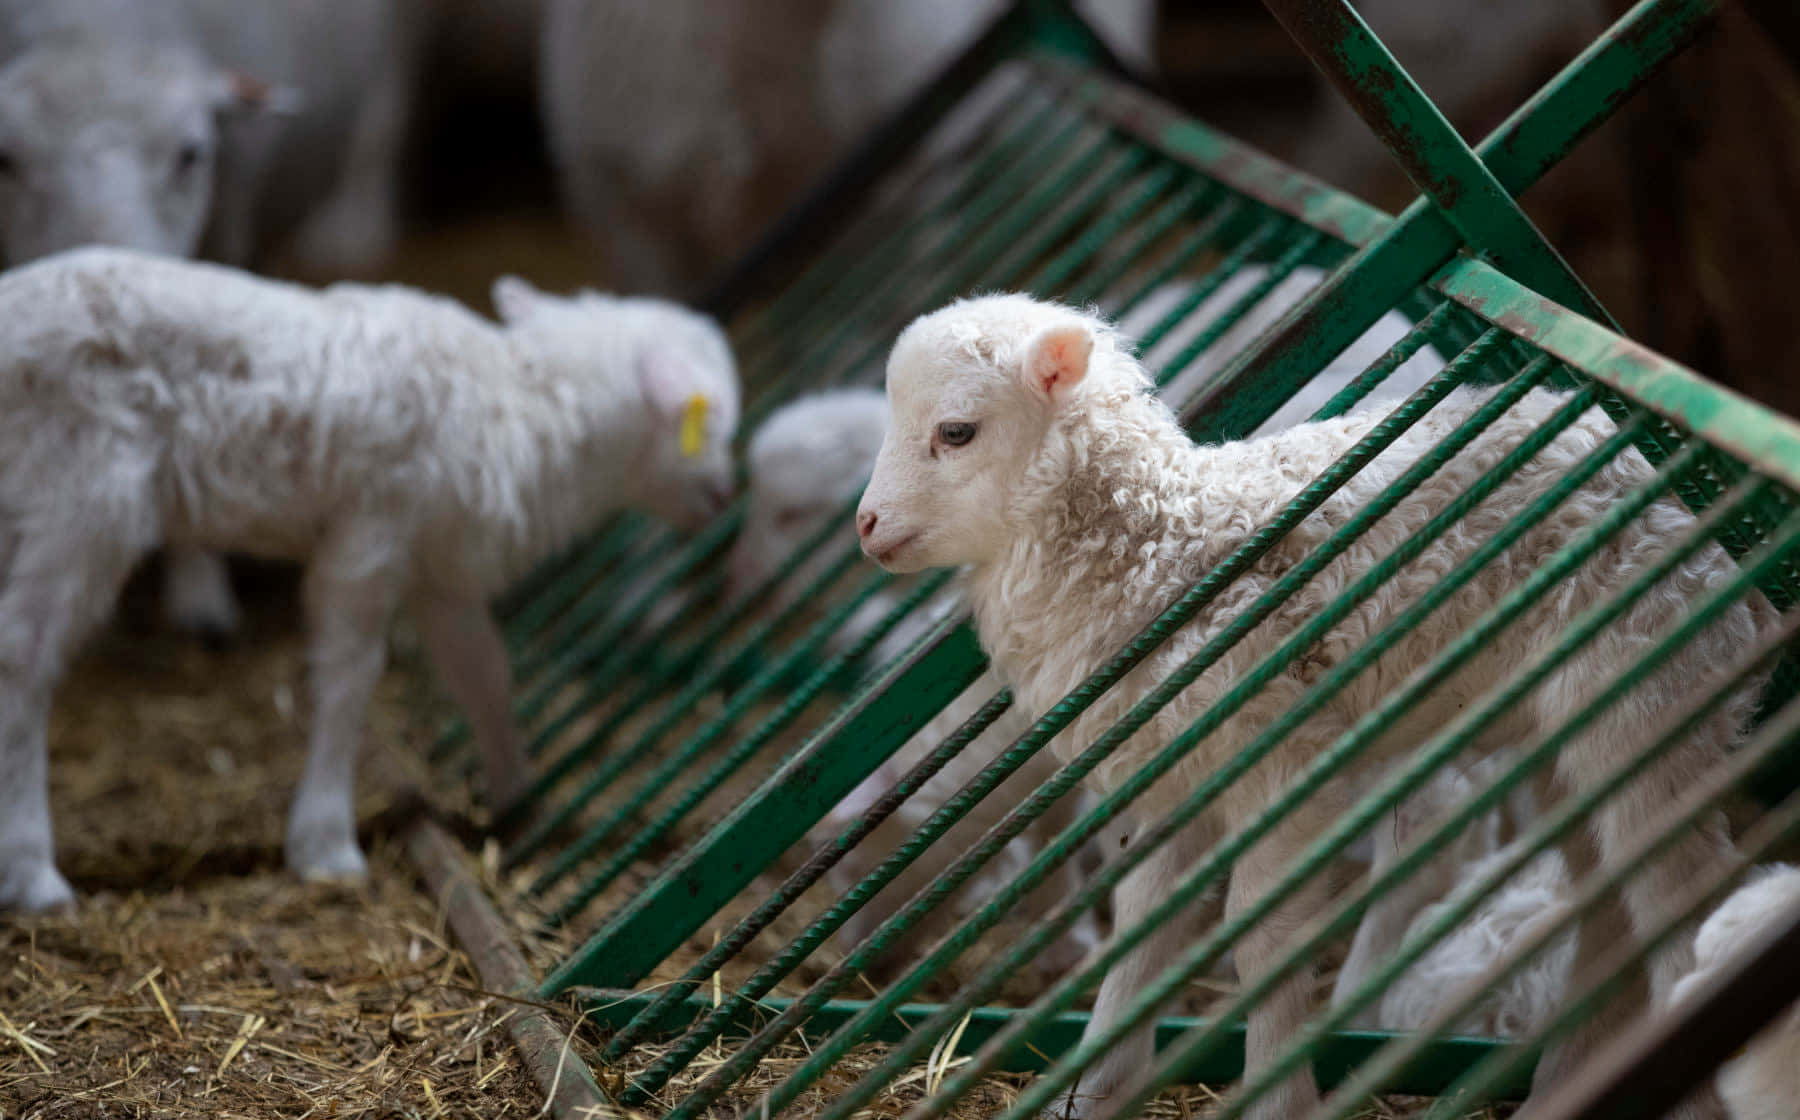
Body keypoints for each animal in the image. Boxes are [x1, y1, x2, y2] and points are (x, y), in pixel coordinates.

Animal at [0, 250, 738, 918]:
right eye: (708, 423)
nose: (725, 497)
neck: (521, 402)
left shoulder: (439, 564)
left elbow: (484, 673)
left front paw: (517, 794)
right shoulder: (372, 528)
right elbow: (350, 677)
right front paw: (326, 842)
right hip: (86, 488)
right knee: (23, 658)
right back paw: (33, 872)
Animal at [856, 293, 1771, 1116]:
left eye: (956, 431)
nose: (867, 526)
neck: (1160, 547)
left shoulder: (1283, 760)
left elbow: (1263, 941)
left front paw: (1277, 1099)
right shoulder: (1168, 776)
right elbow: (1143, 935)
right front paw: (1095, 1096)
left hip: (1651, 683)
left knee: (1681, 896)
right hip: (1567, 732)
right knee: (1610, 904)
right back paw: (1562, 1087)